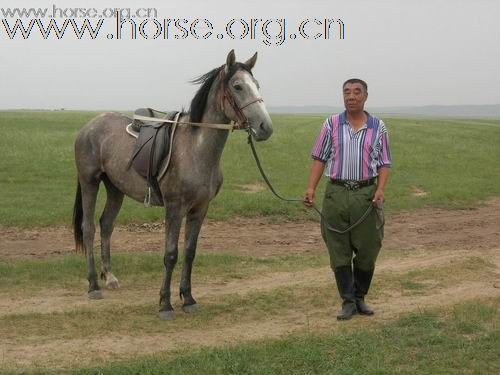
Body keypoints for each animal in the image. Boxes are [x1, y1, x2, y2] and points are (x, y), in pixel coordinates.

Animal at [72, 50, 272, 320]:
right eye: (238, 86)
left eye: (257, 85)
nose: (265, 127)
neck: (196, 149)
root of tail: (88, 127)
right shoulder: (175, 209)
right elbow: (170, 255)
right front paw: (165, 304)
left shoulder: (199, 209)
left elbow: (189, 252)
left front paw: (188, 298)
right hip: (89, 182)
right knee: (89, 228)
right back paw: (93, 284)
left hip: (115, 188)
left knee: (106, 225)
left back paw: (110, 276)